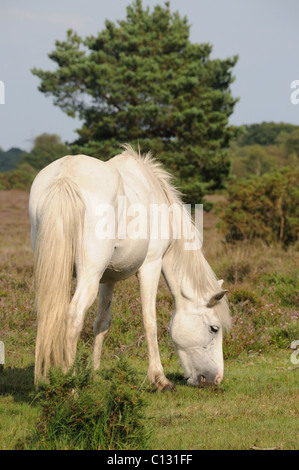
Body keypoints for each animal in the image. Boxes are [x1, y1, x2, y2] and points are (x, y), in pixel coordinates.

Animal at [29, 146, 232, 390]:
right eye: (214, 328)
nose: (216, 379)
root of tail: (65, 176)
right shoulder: (151, 266)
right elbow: (149, 321)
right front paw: (160, 379)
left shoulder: (107, 278)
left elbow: (102, 322)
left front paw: (94, 374)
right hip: (88, 276)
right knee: (73, 316)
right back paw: (70, 385)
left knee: (49, 315)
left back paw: (45, 379)